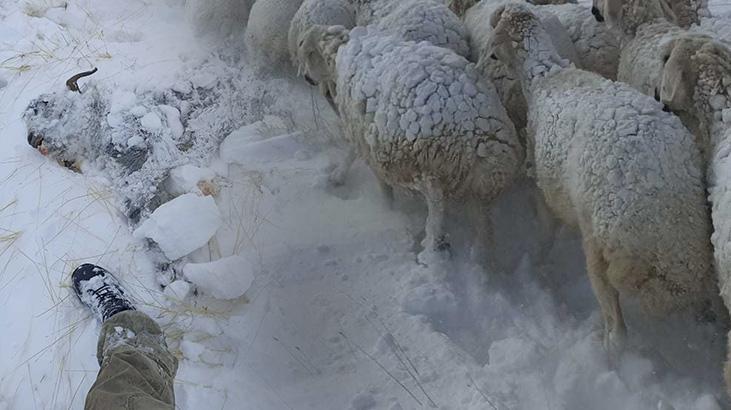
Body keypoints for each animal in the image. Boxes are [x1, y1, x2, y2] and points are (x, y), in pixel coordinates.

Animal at [294, 25, 524, 262]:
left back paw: (432, 248)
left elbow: (367, 169)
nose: (307, 78)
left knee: (436, 207)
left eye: (308, 52)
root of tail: (485, 141)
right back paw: (480, 257)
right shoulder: (365, 132)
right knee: (484, 227)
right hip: (480, 187)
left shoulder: (364, 136)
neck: (340, 52)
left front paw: (384, 209)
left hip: (431, 163)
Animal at [488, 3, 724, 356]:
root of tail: (670, 246)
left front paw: (536, 263)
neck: (547, 76)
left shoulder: (547, 187)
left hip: (601, 247)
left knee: (617, 326)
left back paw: (606, 347)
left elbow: (545, 231)